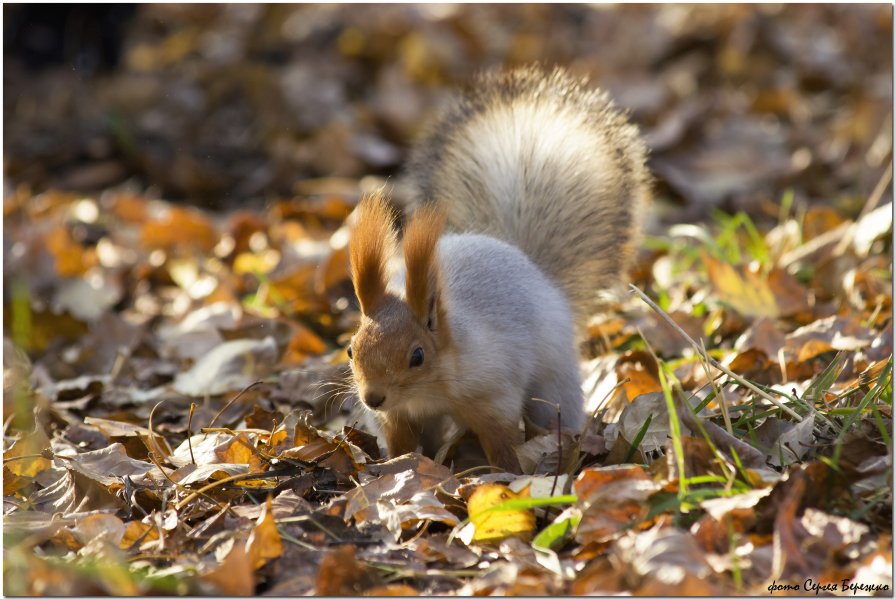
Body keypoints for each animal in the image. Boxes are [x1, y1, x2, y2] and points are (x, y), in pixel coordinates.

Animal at [346, 63, 648, 472]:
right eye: (350, 350)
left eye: (417, 356)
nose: (372, 397)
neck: (429, 390)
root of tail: (531, 266)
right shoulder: (397, 417)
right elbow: (401, 444)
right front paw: (396, 466)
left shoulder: (493, 393)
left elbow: (501, 439)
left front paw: (506, 474)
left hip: (554, 380)